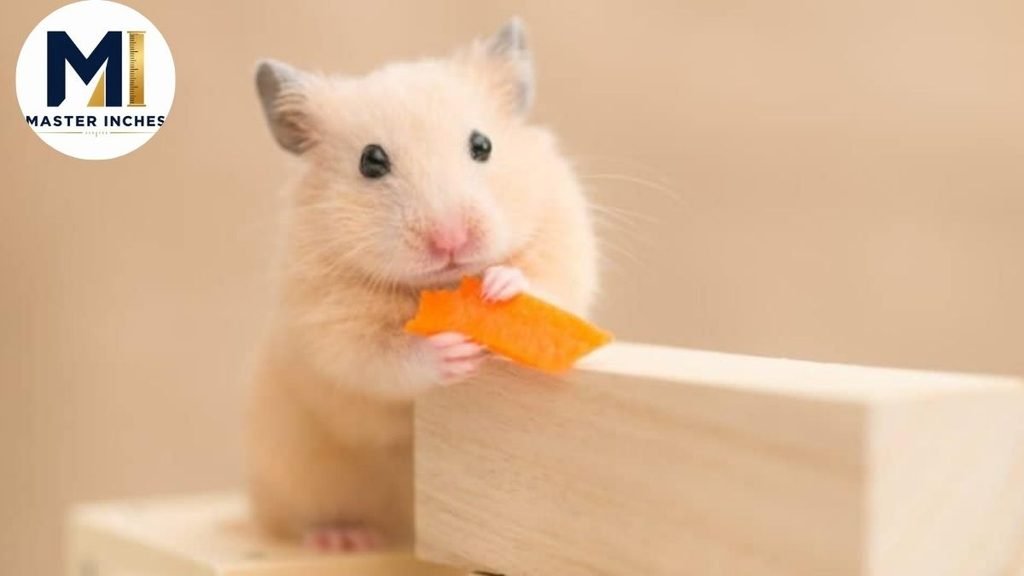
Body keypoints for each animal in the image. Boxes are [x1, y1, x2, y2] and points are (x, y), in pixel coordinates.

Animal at [246, 18, 598, 551]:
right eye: (371, 161)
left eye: (482, 145)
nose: (451, 239)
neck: (443, 287)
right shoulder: (330, 322)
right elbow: (381, 358)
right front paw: (453, 351)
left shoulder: (563, 235)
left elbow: (548, 280)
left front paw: (501, 283)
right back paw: (342, 538)